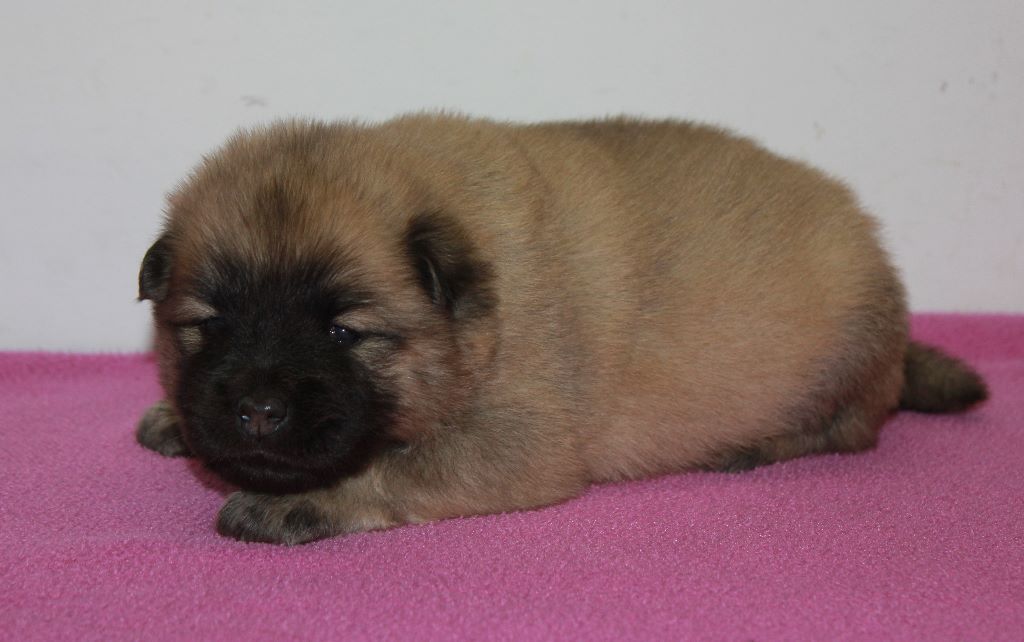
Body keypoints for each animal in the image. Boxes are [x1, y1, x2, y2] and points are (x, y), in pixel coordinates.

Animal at [137, 114, 987, 544]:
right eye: (208, 326)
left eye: (346, 334)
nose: (256, 412)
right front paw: (176, 420)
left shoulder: (517, 441)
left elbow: (394, 467)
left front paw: (295, 503)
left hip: (844, 350)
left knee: (850, 427)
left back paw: (751, 445)